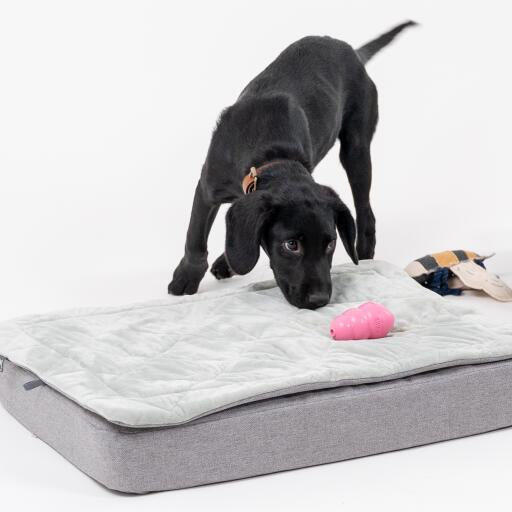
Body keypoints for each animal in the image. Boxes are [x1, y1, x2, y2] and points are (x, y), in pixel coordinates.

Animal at [168, 21, 416, 308]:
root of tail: (352, 51)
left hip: (356, 147)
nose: (319, 299)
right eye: (291, 245)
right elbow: (195, 239)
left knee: (365, 212)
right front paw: (187, 277)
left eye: (330, 244)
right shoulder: (208, 188)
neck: (270, 153)